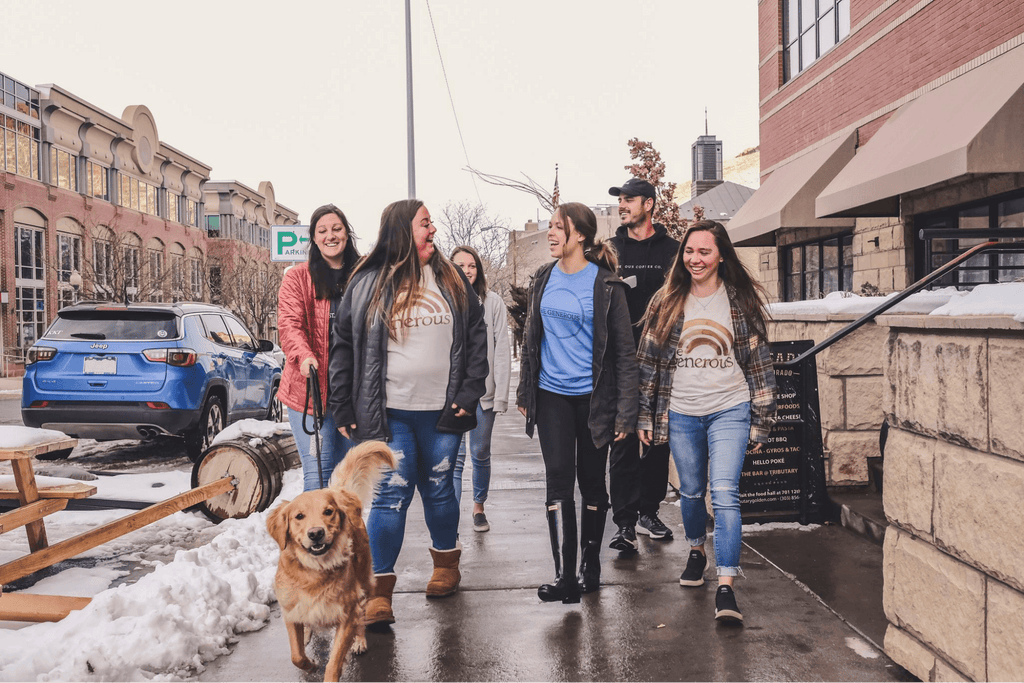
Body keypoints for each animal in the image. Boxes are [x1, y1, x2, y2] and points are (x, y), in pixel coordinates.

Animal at [268, 440, 395, 679]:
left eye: (328, 512)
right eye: (299, 516)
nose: (316, 533)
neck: (314, 571)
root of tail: (337, 490)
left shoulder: (346, 615)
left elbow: (335, 660)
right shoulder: (291, 612)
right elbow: (296, 655)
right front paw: (310, 664)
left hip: (364, 582)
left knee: (362, 615)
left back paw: (359, 641)